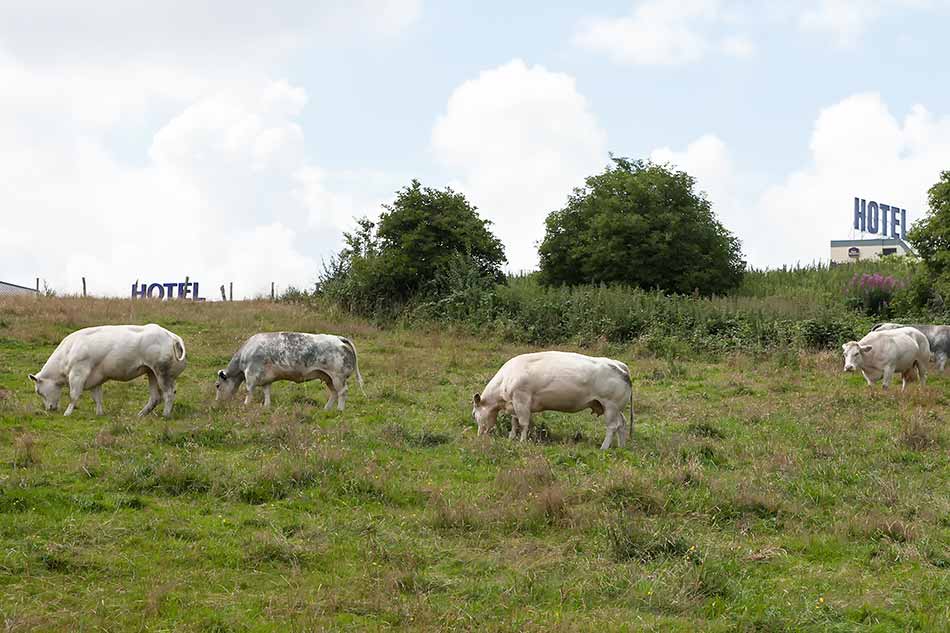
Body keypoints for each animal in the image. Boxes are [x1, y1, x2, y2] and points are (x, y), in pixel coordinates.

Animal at [28, 324, 187, 417]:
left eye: (38, 391)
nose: (49, 408)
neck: (69, 350)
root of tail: (172, 336)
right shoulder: (95, 379)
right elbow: (97, 397)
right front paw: (99, 413)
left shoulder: (78, 374)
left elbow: (74, 395)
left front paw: (67, 413)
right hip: (151, 372)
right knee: (155, 397)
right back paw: (140, 414)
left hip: (162, 373)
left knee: (168, 394)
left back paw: (165, 415)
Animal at [215, 332, 364, 410]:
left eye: (217, 385)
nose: (218, 402)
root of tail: (339, 338)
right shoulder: (266, 378)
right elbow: (266, 391)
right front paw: (266, 406)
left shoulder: (251, 375)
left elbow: (249, 390)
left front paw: (246, 404)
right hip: (329, 378)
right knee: (334, 393)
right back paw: (326, 409)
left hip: (338, 377)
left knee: (342, 392)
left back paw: (339, 410)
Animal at [472, 351, 634, 450]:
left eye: (474, 414)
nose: (479, 435)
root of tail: (619, 365)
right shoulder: (514, 404)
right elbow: (514, 422)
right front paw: (511, 437)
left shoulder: (522, 400)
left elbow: (523, 423)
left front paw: (522, 441)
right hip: (615, 408)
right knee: (622, 424)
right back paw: (622, 446)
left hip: (610, 405)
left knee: (612, 426)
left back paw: (604, 447)